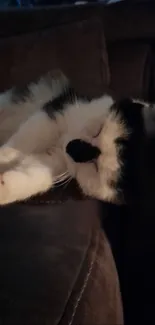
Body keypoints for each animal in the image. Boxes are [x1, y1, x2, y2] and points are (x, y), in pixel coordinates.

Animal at [0, 70, 154, 204]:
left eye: (96, 166)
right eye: (99, 130)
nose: (70, 147)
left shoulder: (57, 161)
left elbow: (35, 174)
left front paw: (5, 188)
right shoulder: (57, 113)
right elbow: (24, 141)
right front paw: (4, 156)